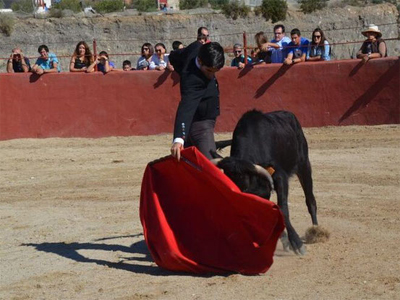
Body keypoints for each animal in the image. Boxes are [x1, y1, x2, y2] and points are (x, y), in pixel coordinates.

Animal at [212, 109, 318, 254]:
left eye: (245, 185)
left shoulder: (280, 177)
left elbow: (282, 209)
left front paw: (296, 243)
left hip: (303, 164)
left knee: (310, 199)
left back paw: (316, 231)